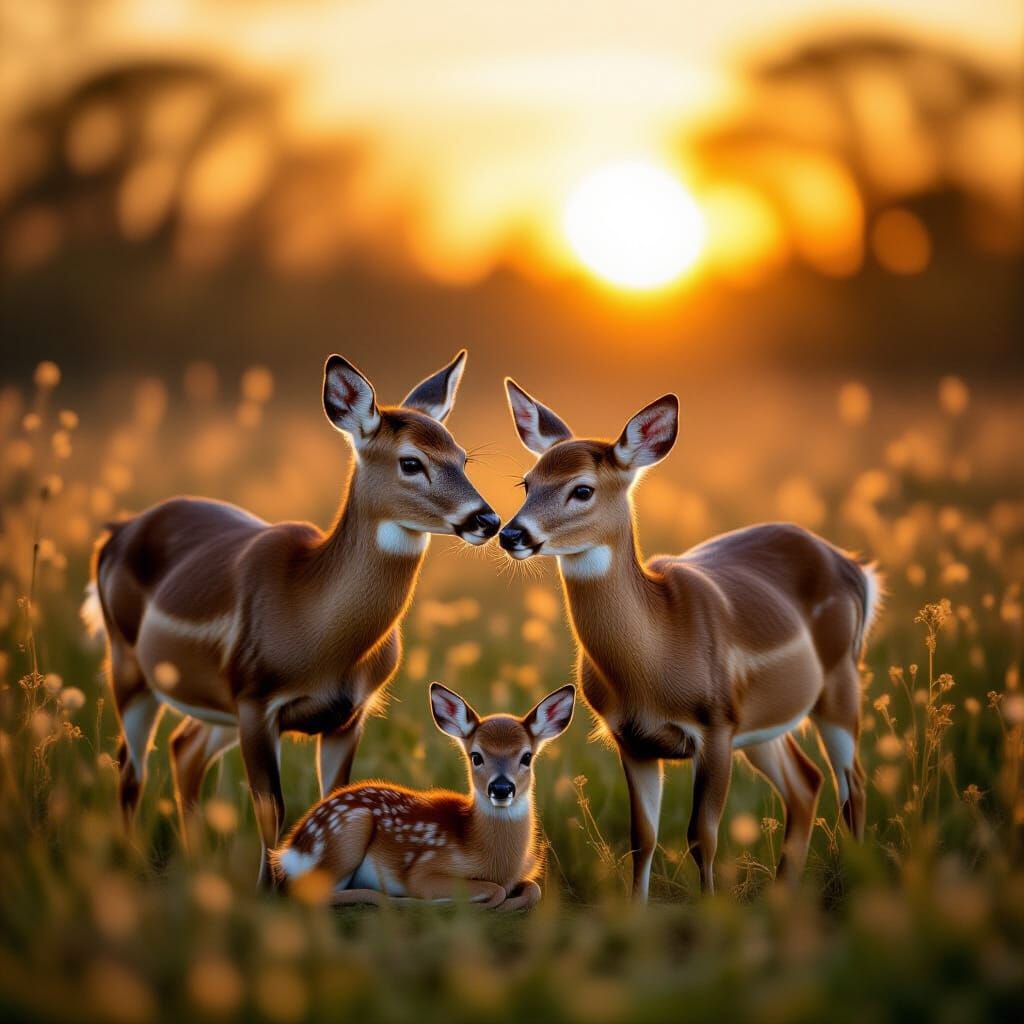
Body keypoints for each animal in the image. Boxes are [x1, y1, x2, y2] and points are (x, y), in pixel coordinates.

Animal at [81, 350, 501, 883]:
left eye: (462, 457)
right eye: (411, 461)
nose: (487, 520)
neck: (315, 625)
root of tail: (116, 532)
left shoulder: (349, 714)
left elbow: (335, 796)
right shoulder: (258, 700)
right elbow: (271, 807)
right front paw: (270, 888)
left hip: (215, 702)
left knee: (183, 749)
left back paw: (194, 864)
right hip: (131, 665)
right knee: (131, 765)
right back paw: (133, 863)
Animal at [272, 682, 575, 909]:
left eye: (527, 757)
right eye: (476, 756)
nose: (501, 788)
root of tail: (289, 851)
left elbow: (534, 889)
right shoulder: (423, 870)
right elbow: (495, 890)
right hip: (349, 830)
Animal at [498, 379, 881, 900]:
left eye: (582, 489)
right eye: (527, 482)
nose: (510, 534)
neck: (656, 655)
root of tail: (855, 567)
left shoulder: (715, 725)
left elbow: (702, 835)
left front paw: (711, 908)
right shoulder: (632, 739)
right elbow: (642, 837)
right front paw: (637, 910)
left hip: (838, 681)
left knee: (853, 783)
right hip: (761, 723)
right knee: (807, 782)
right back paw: (783, 893)